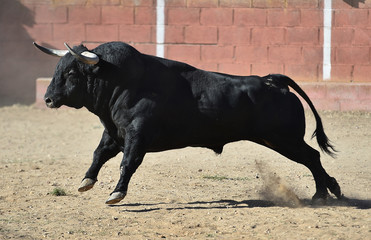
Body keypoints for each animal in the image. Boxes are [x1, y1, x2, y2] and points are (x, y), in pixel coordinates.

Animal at [34, 41, 342, 204]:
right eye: (58, 69)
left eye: (71, 73)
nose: (48, 99)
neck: (121, 82)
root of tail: (274, 80)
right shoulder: (115, 133)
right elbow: (98, 154)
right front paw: (86, 181)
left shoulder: (137, 135)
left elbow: (127, 163)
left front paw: (116, 193)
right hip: (279, 140)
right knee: (312, 157)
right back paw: (331, 189)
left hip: (283, 139)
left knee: (311, 156)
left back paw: (321, 194)